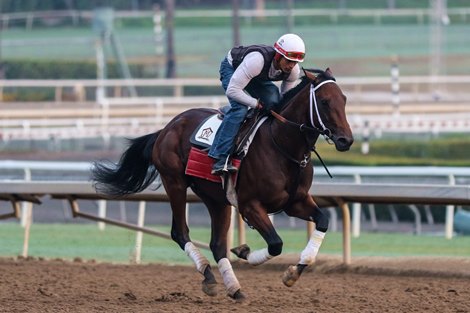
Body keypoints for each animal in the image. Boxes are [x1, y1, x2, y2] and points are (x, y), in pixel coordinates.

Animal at [92, 69, 352, 300]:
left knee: (217, 244)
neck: (282, 146)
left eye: (344, 99)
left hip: (217, 199)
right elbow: (276, 244)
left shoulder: (294, 202)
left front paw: (292, 273)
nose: (345, 140)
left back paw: (235, 289)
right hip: (174, 183)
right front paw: (245, 251)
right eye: (325, 101)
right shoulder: (250, 205)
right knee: (180, 232)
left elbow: (323, 222)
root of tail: (167, 127)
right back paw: (208, 275)